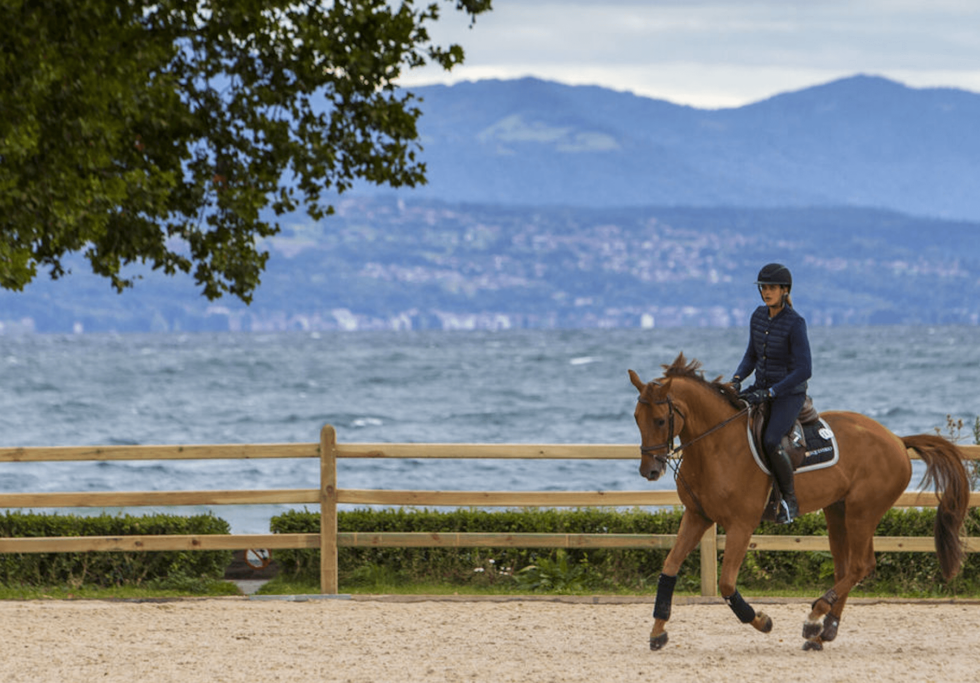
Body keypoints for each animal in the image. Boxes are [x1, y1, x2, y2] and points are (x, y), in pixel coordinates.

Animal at [632, 356, 968, 656]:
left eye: (660, 420)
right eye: (636, 417)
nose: (649, 471)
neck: (717, 446)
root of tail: (897, 440)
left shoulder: (741, 525)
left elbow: (726, 584)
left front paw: (761, 620)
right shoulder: (697, 516)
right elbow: (669, 569)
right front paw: (658, 632)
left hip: (863, 512)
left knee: (861, 565)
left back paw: (815, 618)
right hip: (838, 511)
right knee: (848, 566)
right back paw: (823, 632)